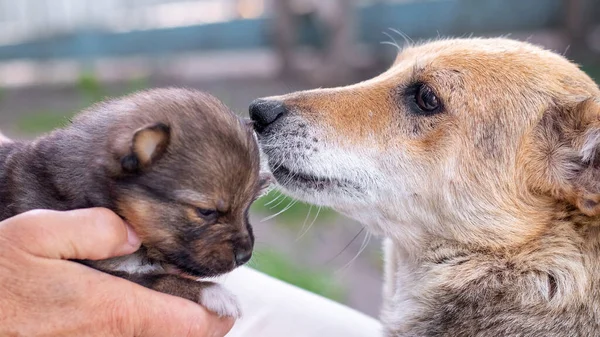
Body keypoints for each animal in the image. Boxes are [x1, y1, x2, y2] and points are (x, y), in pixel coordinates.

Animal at [0, 87, 268, 318]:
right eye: (206, 212)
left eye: (249, 204)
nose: (245, 256)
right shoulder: (98, 268)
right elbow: (155, 280)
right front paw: (215, 292)